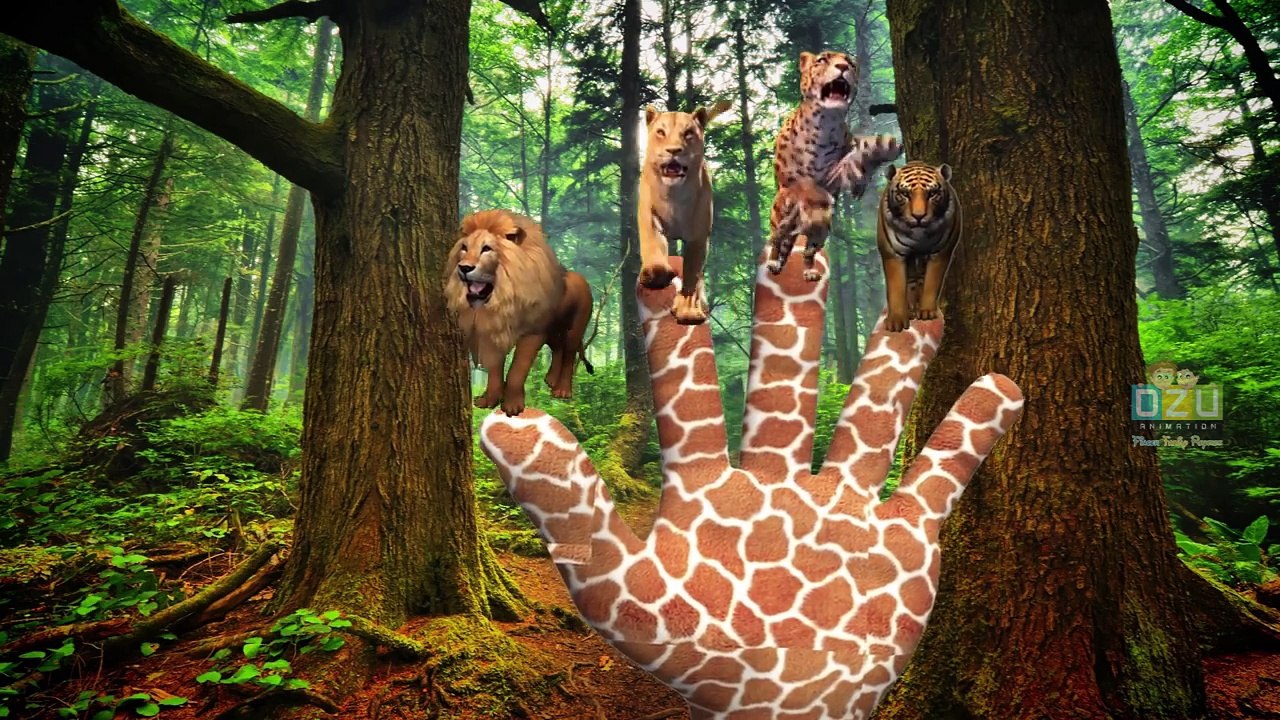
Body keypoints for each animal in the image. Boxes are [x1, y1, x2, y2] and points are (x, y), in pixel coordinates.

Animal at [443, 209, 594, 416]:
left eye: (486, 249)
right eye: (464, 248)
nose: (464, 268)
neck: (500, 299)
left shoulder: (533, 333)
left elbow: (518, 369)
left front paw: (512, 406)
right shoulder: (493, 332)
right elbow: (495, 370)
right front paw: (488, 400)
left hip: (574, 328)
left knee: (569, 354)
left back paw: (562, 390)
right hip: (552, 331)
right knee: (558, 349)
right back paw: (550, 379)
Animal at [637, 99, 732, 325]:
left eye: (688, 133)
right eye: (661, 132)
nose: (673, 150)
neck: (674, 195)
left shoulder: (699, 236)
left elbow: (692, 272)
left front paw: (688, 310)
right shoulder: (649, 216)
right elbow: (652, 245)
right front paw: (656, 275)